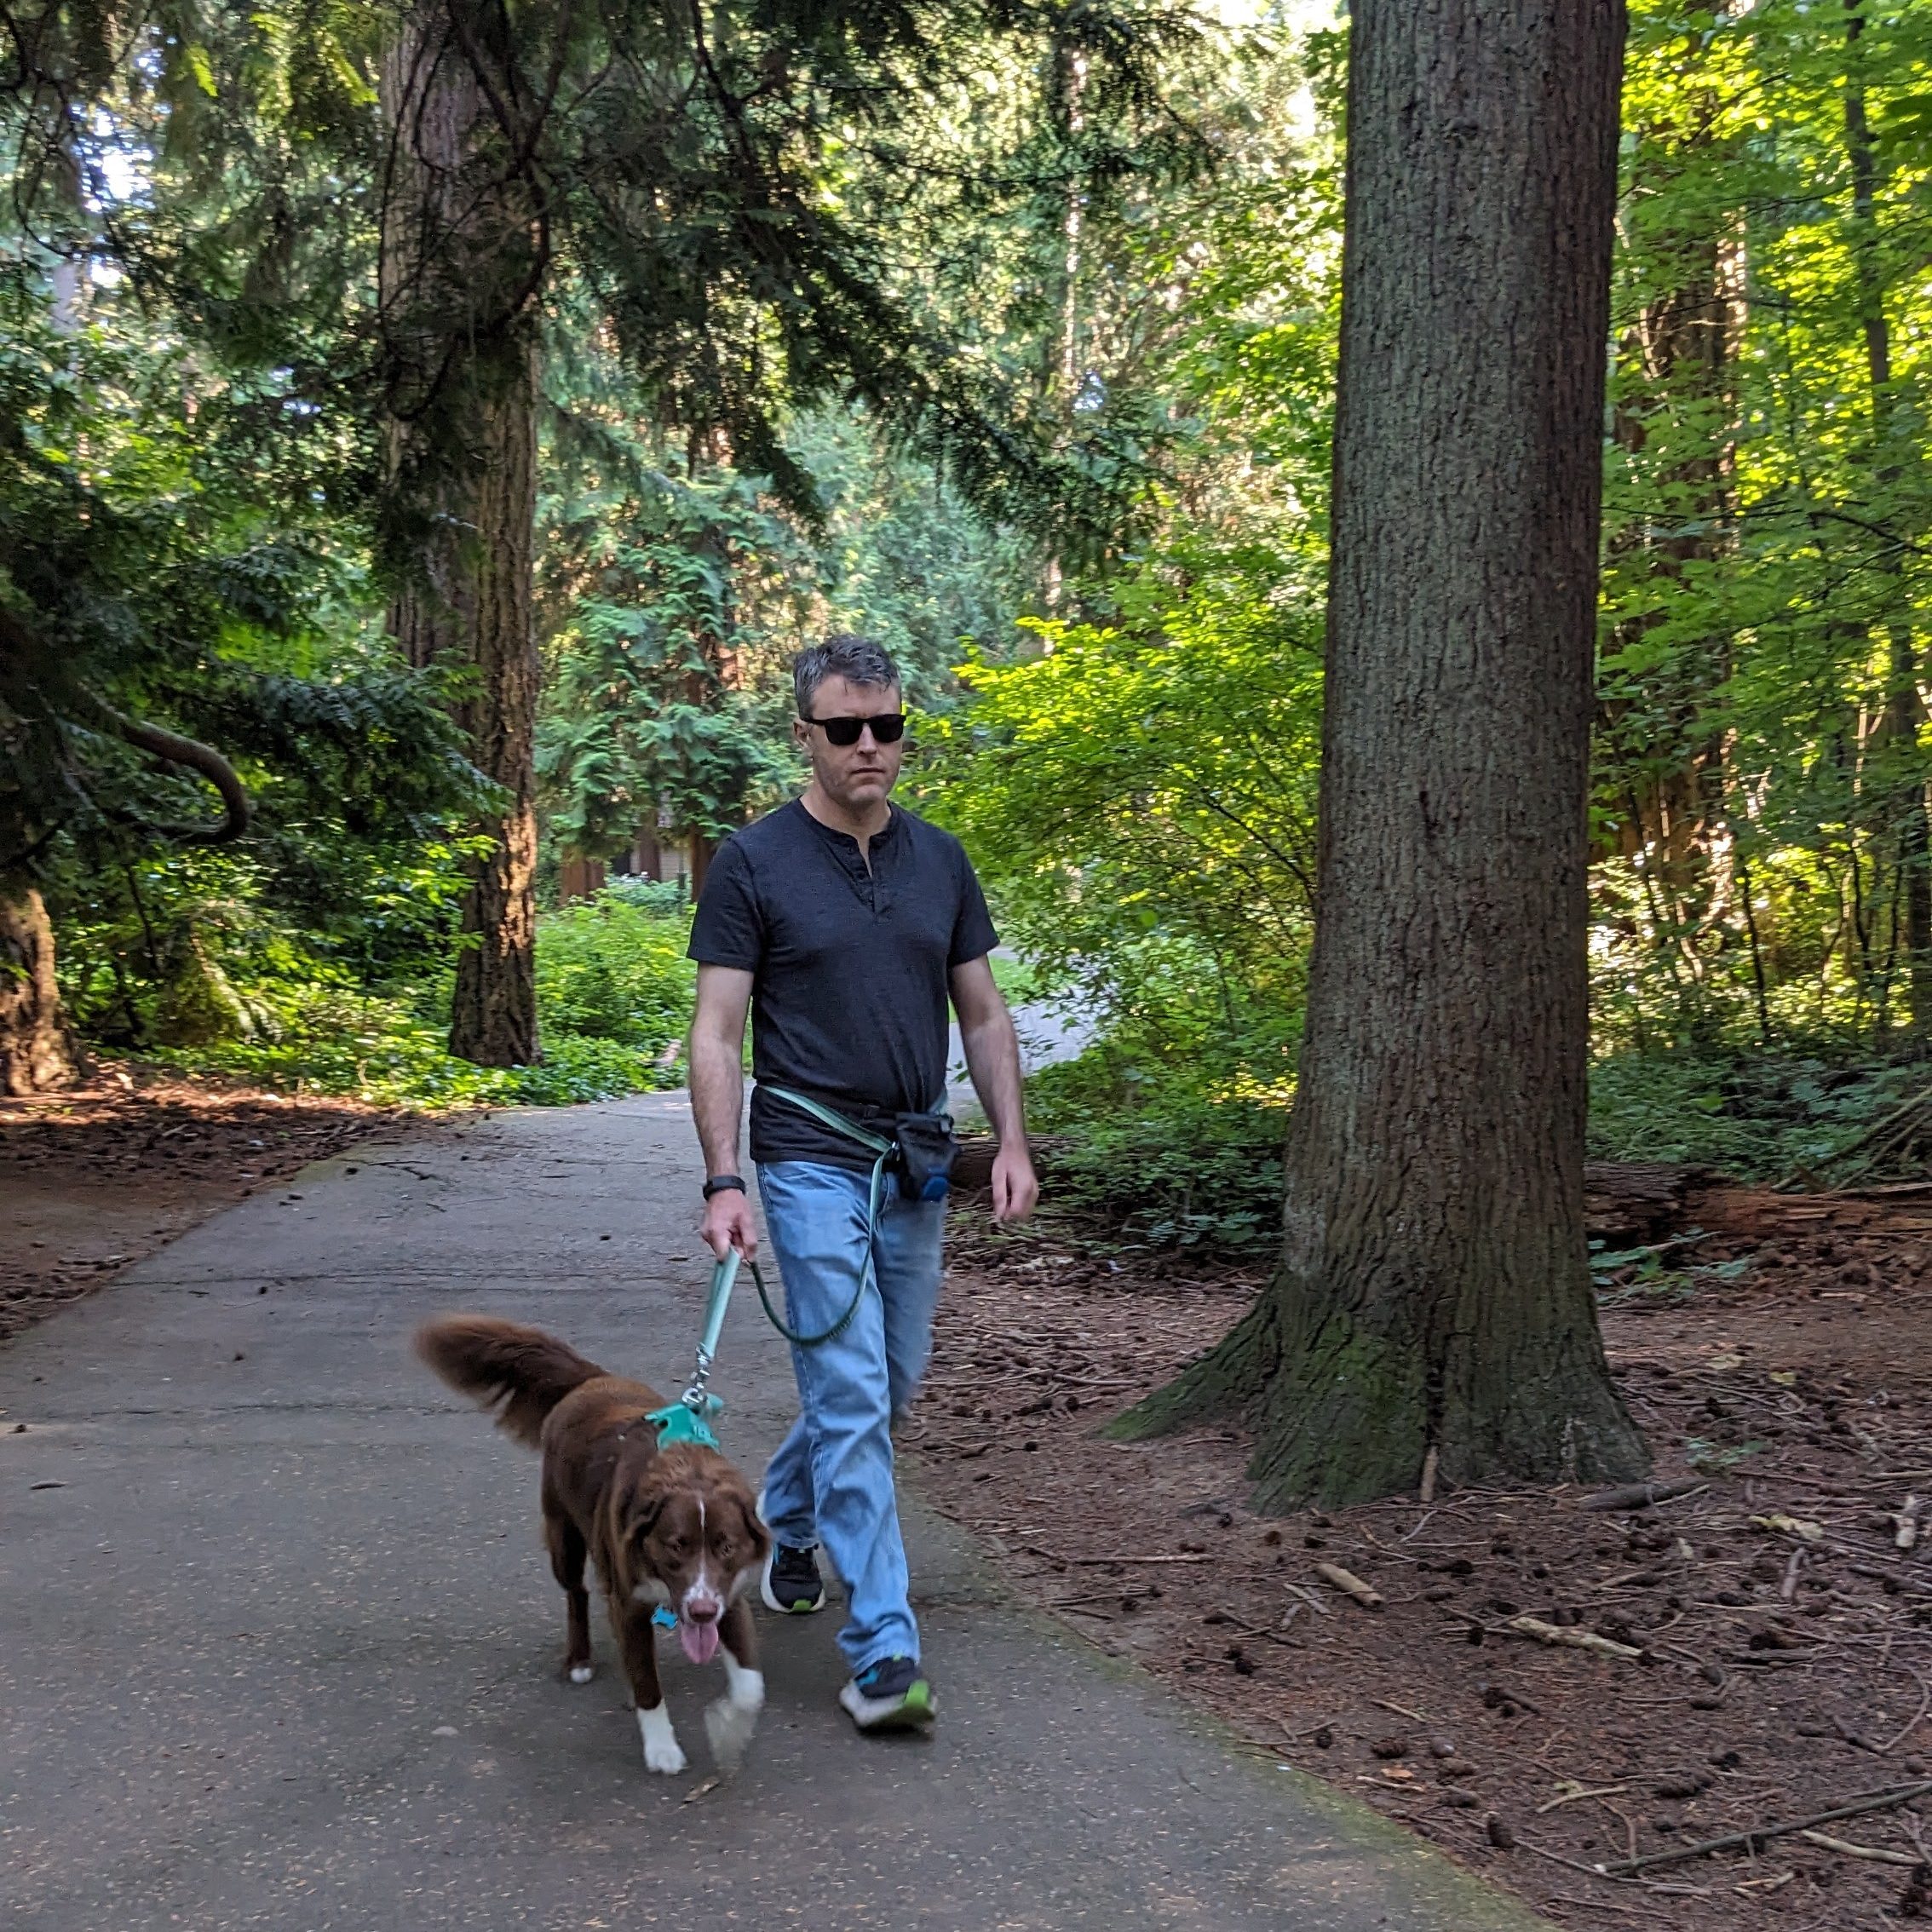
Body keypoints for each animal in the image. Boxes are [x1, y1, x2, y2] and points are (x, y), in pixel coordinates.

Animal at [415, 1314, 768, 1777]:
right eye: (675, 1546)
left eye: (727, 1547)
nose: (701, 1611)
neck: (685, 1471)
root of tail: (592, 1379)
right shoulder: (630, 1602)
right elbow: (647, 1683)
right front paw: (662, 1748)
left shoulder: (730, 1595)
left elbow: (750, 1687)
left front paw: (726, 1731)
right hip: (563, 1533)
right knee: (577, 1593)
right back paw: (580, 1659)